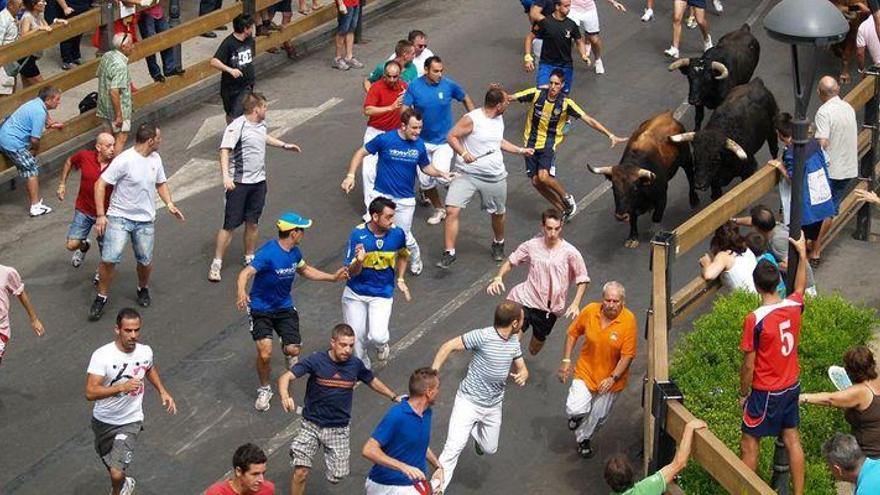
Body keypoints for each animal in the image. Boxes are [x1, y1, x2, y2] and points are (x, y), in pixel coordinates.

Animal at [588, 112, 696, 248]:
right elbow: (633, 219)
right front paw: (632, 237)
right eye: (613, 187)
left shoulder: (662, 195)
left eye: (634, 188)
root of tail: (667, 114)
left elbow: (656, 216)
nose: (621, 216)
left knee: (690, 175)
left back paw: (693, 200)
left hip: (686, 158)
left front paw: (655, 231)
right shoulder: (631, 206)